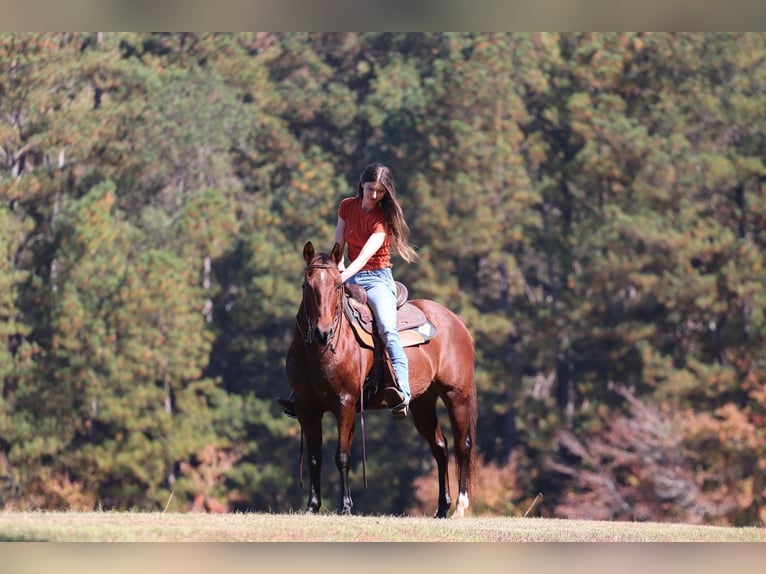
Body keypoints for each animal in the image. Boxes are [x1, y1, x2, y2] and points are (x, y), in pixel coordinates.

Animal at [286, 241, 480, 520]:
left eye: (337, 285)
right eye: (306, 284)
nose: (322, 333)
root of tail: (457, 322)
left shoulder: (345, 404)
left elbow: (342, 456)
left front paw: (346, 507)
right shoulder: (306, 408)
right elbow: (315, 458)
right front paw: (312, 506)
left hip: (457, 395)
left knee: (462, 445)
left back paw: (459, 507)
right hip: (423, 403)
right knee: (440, 447)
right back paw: (441, 508)